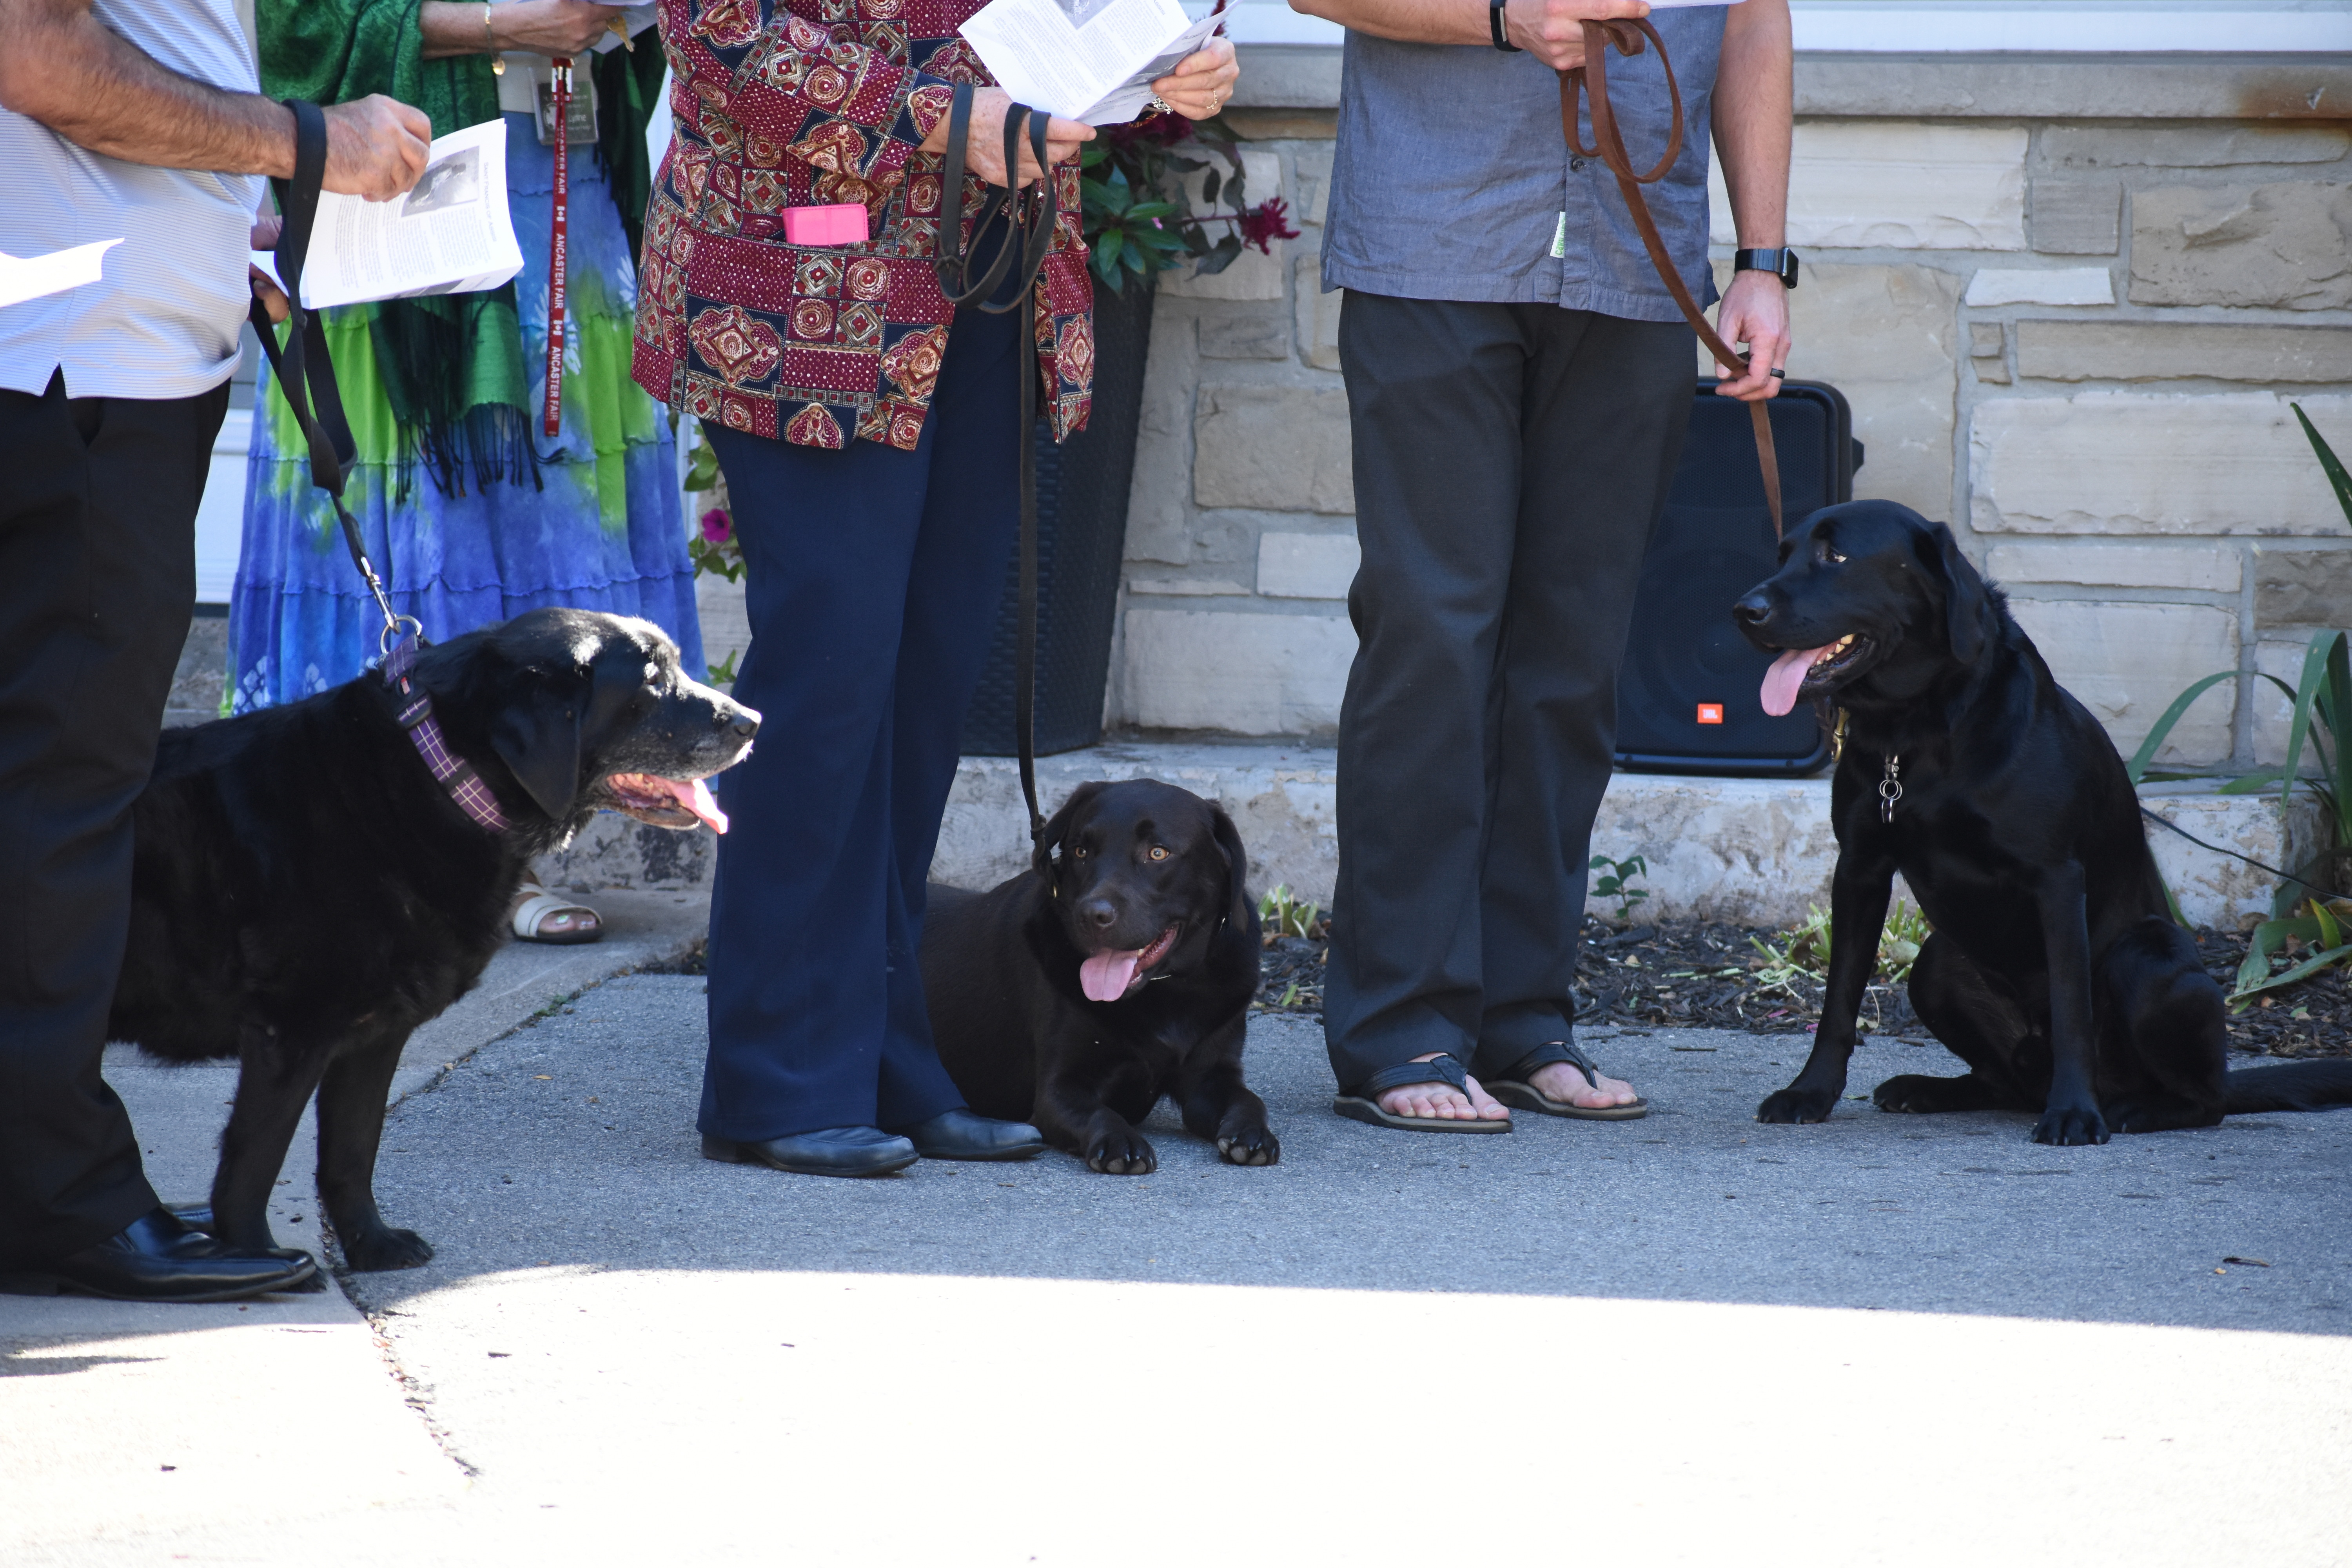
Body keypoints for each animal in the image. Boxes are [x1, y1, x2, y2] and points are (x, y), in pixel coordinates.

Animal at [1731, 510, 2352, 1147]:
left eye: (1836, 557)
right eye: (1783, 554)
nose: (1743, 610)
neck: (1916, 731)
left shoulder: (2056, 878)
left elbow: (2072, 1007)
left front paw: (2074, 1113)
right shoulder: (1860, 869)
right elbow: (1839, 999)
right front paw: (1810, 1092)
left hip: (2147, 958)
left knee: (2207, 1101)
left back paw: (2132, 1110)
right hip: (1936, 964)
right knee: (1997, 1081)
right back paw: (1929, 1089)